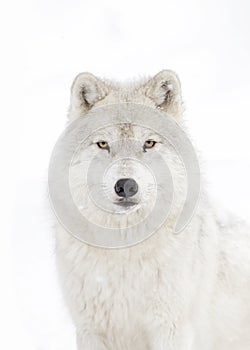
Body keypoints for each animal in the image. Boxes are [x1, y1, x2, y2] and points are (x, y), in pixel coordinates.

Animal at [54, 69, 250, 348]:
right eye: (103, 144)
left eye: (148, 143)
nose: (126, 185)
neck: (124, 249)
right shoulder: (90, 330)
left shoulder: (171, 329)